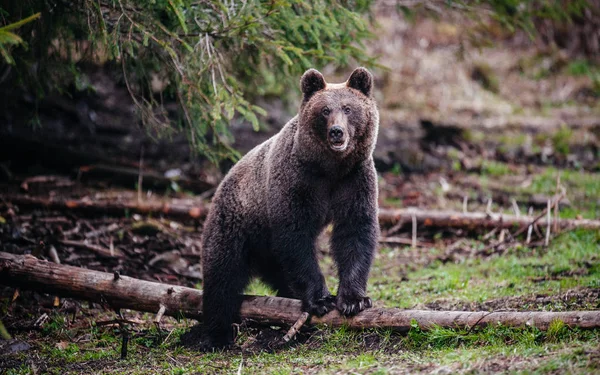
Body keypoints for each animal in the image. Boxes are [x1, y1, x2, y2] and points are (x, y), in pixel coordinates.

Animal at [202, 67, 380, 350]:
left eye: (348, 108)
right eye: (324, 110)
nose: (337, 132)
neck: (330, 168)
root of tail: (223, 181)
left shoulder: (354, 180)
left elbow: (355, 232)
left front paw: (354, 300)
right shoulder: (296, 181)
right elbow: (296, 234)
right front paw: (321, 299)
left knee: (279, 276)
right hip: (236, 222)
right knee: (222, 276)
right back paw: (216, 334)